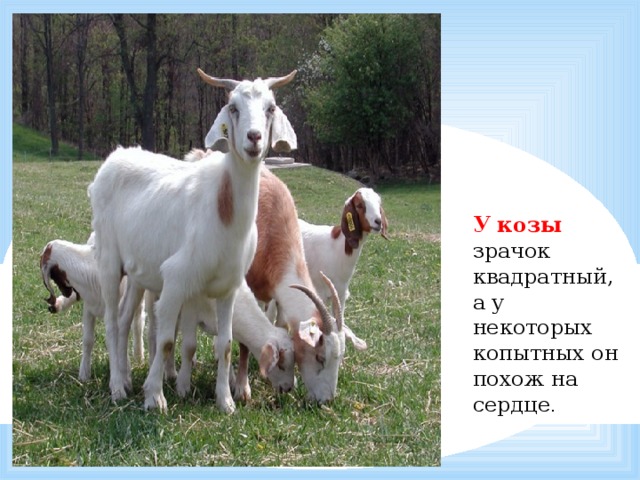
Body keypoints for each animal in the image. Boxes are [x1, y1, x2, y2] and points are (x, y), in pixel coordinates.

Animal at [39, 234, 144, 382]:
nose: (65, 292)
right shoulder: (88, 309)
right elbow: (88, 340)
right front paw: (84, 374)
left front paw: (124, 371)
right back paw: (59, 304)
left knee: (138, 322)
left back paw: (139, 355)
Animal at [88, 69, 297, 413]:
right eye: (233, 107)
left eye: (270, 107)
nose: (253, 138)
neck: (224, 214)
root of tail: (115, 156)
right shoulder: (175, 279)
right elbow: (165, 340)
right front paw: (155, 397)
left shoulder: (228, 288)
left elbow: (226, 344)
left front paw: (226, 401)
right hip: (108, 259)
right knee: (110, 320)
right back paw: (117, 387)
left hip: (137, 272)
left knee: (124, 319)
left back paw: (126, 379)